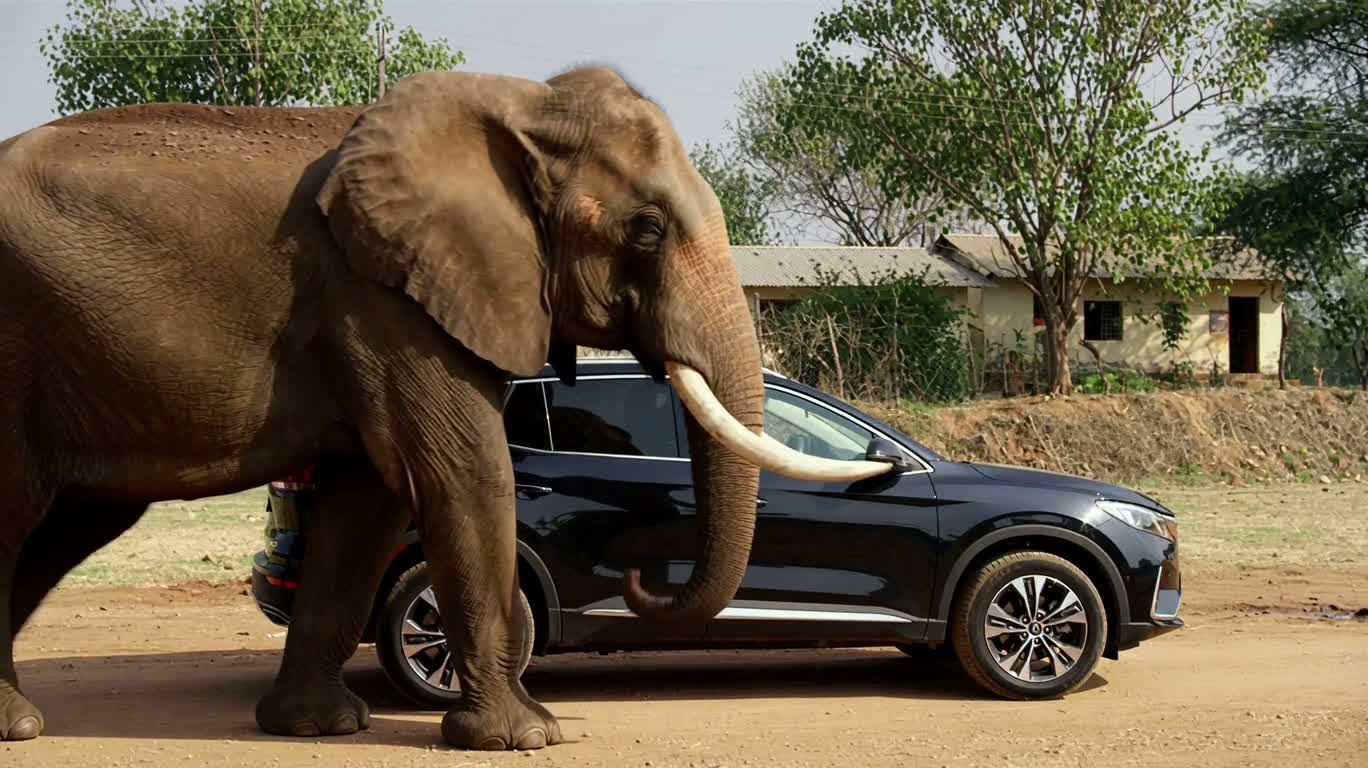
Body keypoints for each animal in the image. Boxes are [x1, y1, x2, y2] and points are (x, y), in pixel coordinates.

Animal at [0, 66, 890, 749]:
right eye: (645, 229)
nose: (643, 573)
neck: (521, 110)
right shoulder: (387, 299)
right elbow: (464, 474)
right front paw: (526, 737)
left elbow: (368, 504)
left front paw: (321, 728)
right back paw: (17, 725)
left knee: (67, 526)